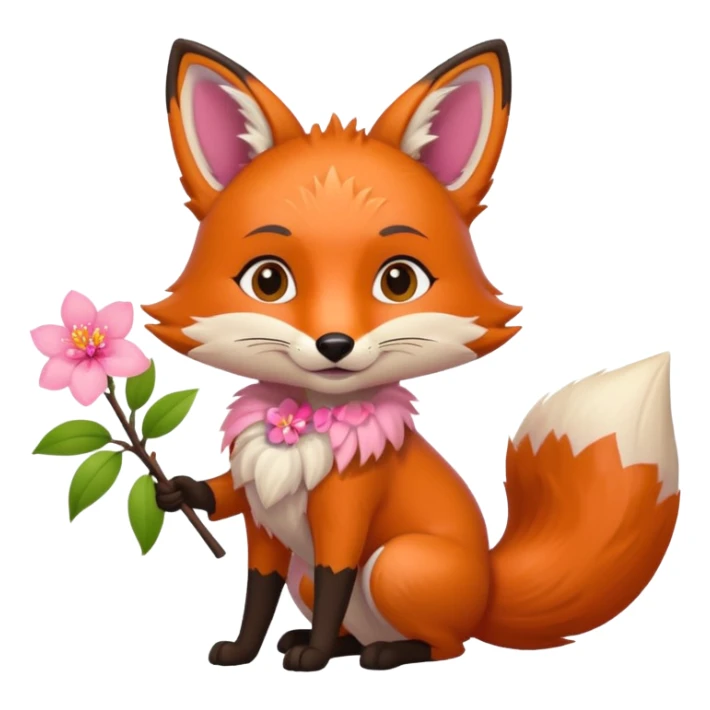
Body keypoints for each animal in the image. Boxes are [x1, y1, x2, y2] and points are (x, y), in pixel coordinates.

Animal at [146, 38, 680, 672]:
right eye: (268, 280)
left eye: (398, 281)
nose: (334, 345)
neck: (300, 427)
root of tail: (487, 590)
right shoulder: (263, 520)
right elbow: (251, 577)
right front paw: (239, 642)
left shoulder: (345, 517)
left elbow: (335, 578)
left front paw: (313, 659)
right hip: (323, 578)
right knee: (349, 621)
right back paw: (335, 644)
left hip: (397, 564)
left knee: (446, 646)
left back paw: (384, 653)